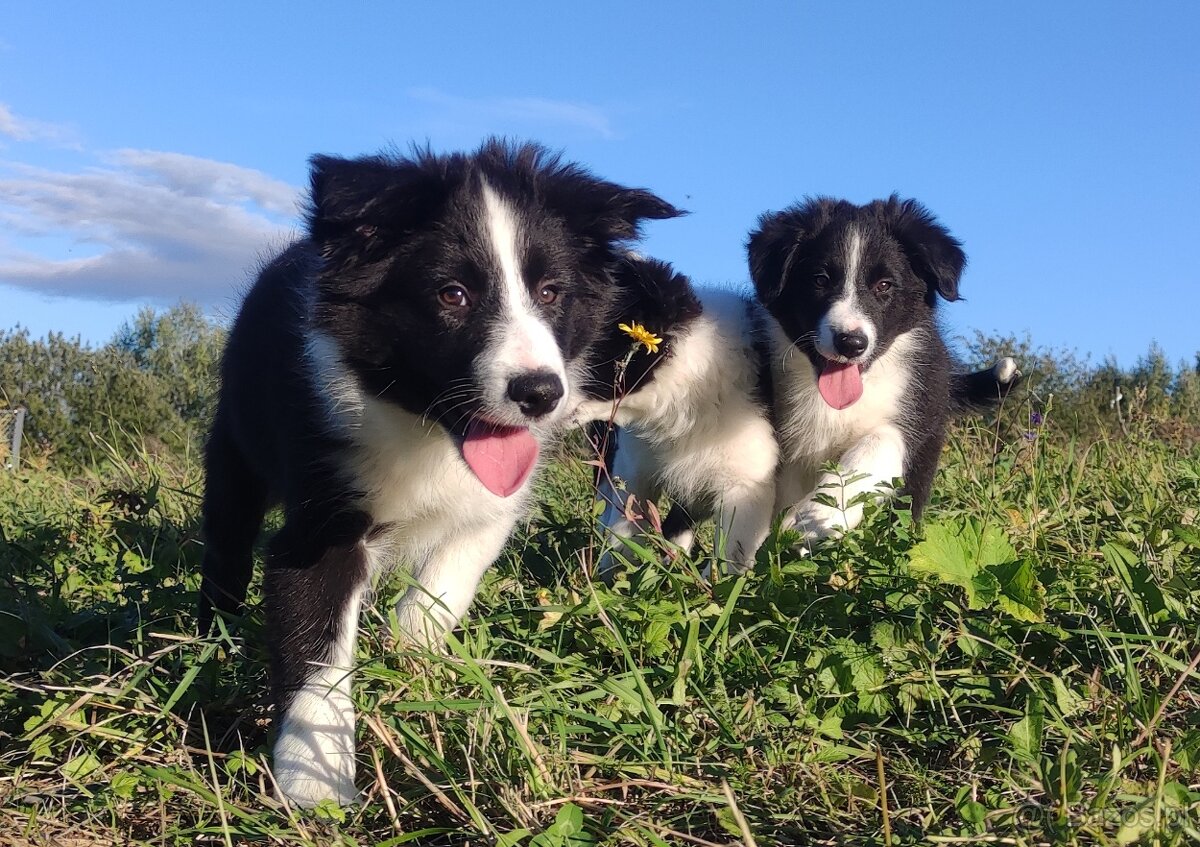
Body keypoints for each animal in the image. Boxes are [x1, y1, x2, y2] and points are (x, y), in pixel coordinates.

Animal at [200, 140, 681, 806]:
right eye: (452, 295)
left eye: (551, 293)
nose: (540, 393)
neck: (428, 431)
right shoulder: (322, 518)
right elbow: (316, 650)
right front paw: (314, 785)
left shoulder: (491, 508)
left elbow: (442, 593)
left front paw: (409, 666)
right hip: (236, 449)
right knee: (226, 543)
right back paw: (207, 642)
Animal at [748, 194, 1022, 544]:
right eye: (820, 280)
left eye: (884, 285)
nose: (851, 343)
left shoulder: (913, 412)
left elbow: (878, 444)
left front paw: (818, 514)